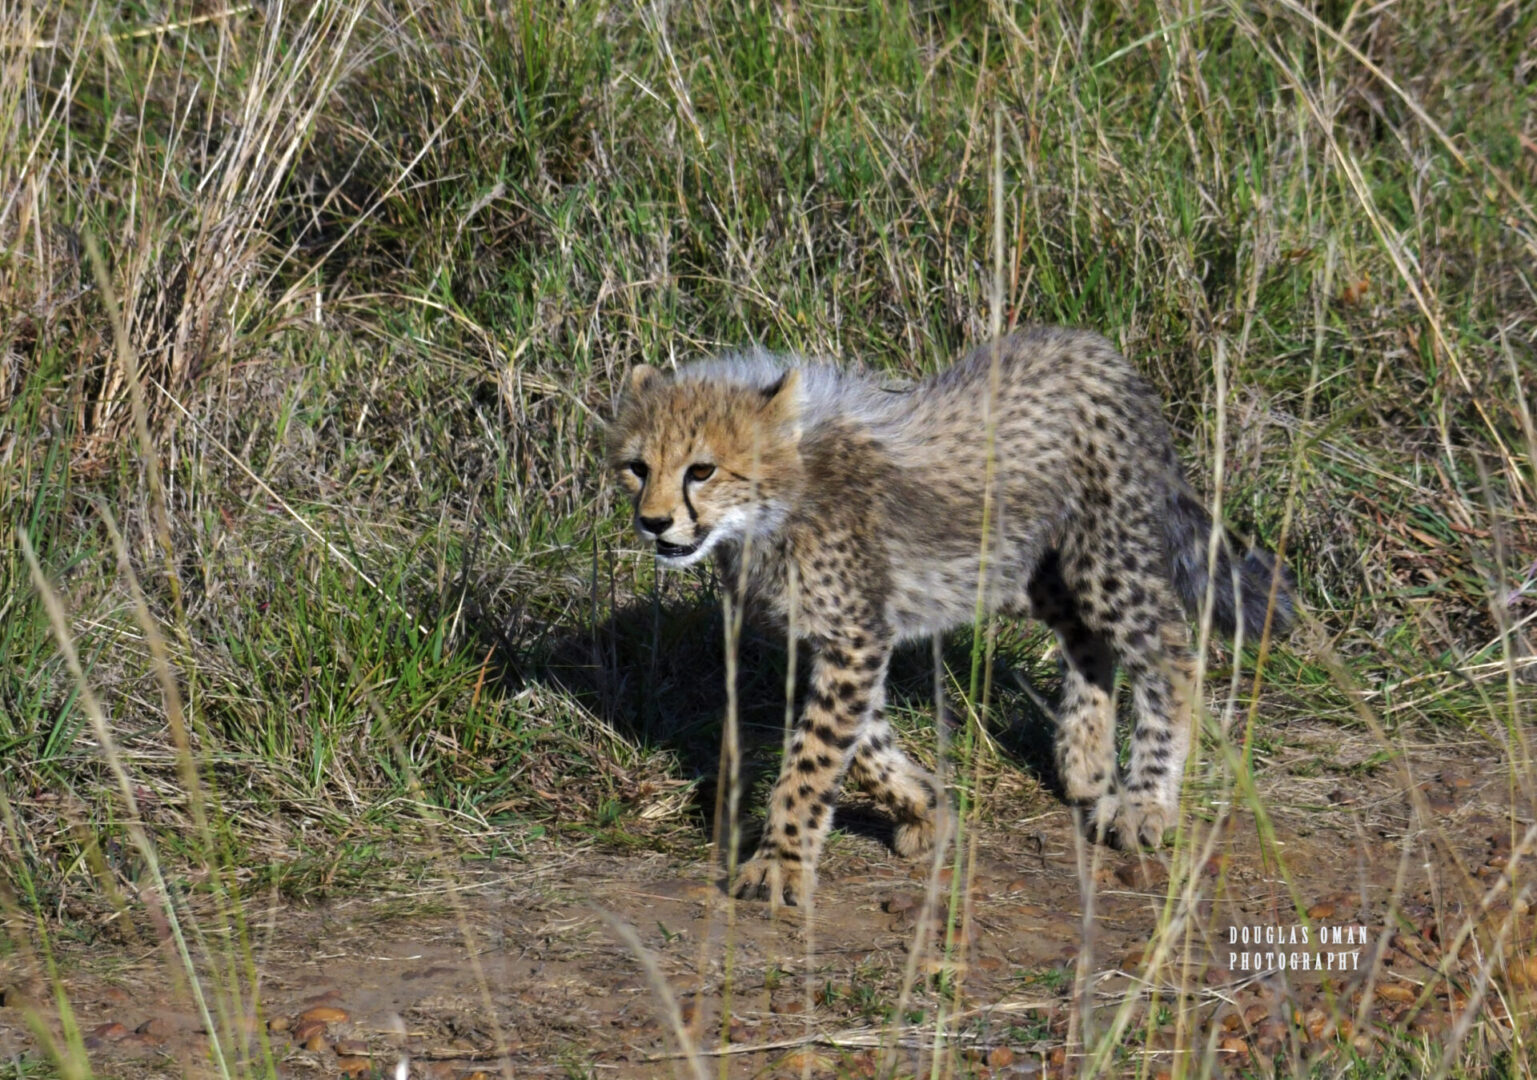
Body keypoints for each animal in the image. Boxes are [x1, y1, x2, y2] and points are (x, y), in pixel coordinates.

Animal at [605, 327, 1291, 903]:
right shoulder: (828, 640)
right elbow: (865, 749)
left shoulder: (854, 637)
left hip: (1103, 556)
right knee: (1087, 637)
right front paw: (927, 808)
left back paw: (1145, 802)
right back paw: (1083, 760)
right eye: (638, 468)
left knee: (1170, 652)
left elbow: (815, 758)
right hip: (1019, 567)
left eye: (702, 470)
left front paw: (781, 862)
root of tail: (1090, 345)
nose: (654, 522)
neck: (773, 511)